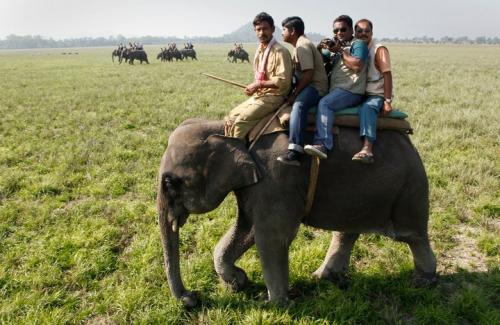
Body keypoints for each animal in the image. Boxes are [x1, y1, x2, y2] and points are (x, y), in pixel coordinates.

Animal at [157, 119, 438, 306]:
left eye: (170, 182)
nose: (192, 297)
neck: (231, 129)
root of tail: (411, 144)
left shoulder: (276, 177)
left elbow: (272, 236)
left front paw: (273, 305)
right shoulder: (256, 184)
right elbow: (248, 229)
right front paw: (238, 281)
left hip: (409, 190)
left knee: (412, 236)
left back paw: (423, 283)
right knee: (346, 233)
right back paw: (324, 278)